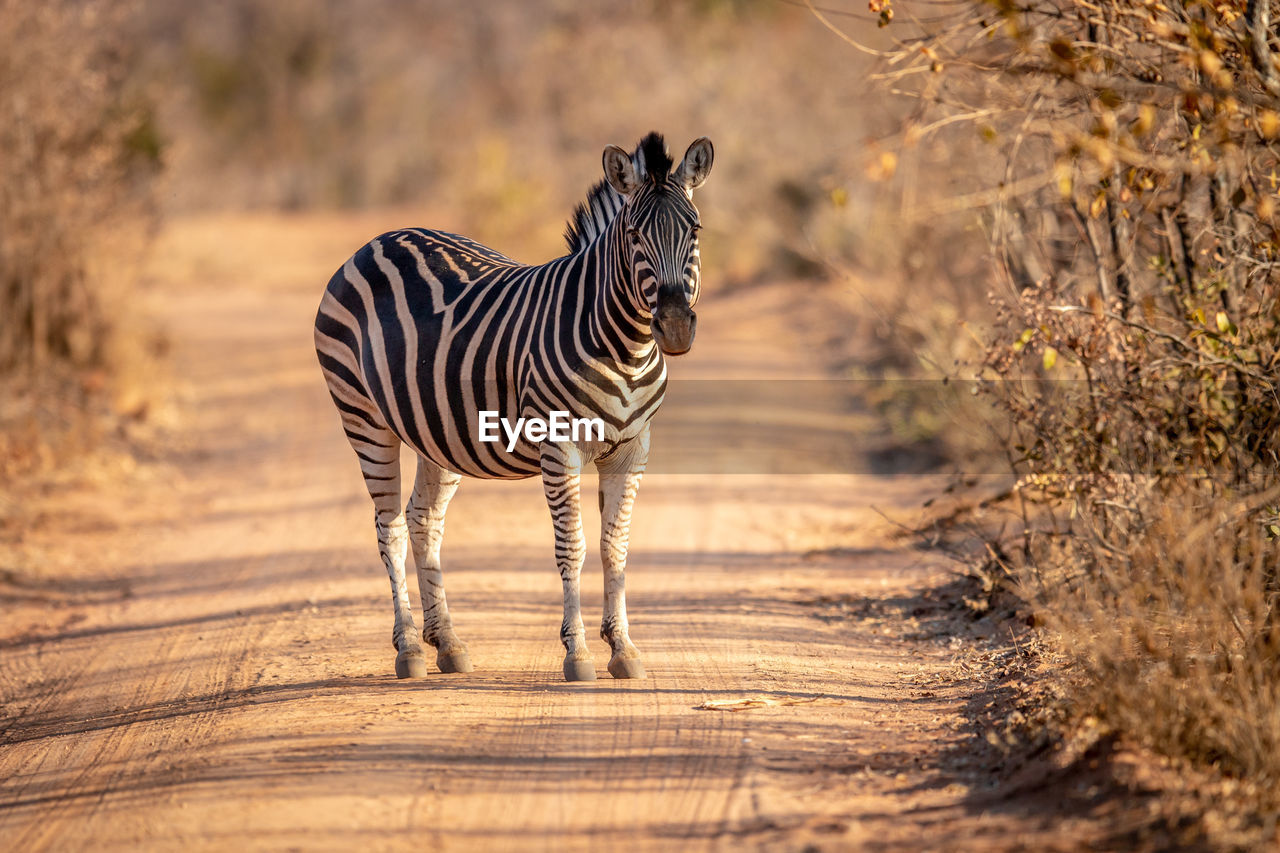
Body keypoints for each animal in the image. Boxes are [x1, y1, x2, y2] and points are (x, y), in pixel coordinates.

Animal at [309, 131, 711, 676]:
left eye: (695, 230)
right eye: (633, 235)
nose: (674, 327)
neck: (624, 346)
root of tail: (377, 240)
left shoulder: (632, 449)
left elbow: (615, 547)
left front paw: (624, 648)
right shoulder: (559, 448)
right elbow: (573, 547)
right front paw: (578, 652)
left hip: (436, 430)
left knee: (423, 520)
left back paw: (447, 642)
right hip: (364, 418)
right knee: (388, 527)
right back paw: (410, 648)